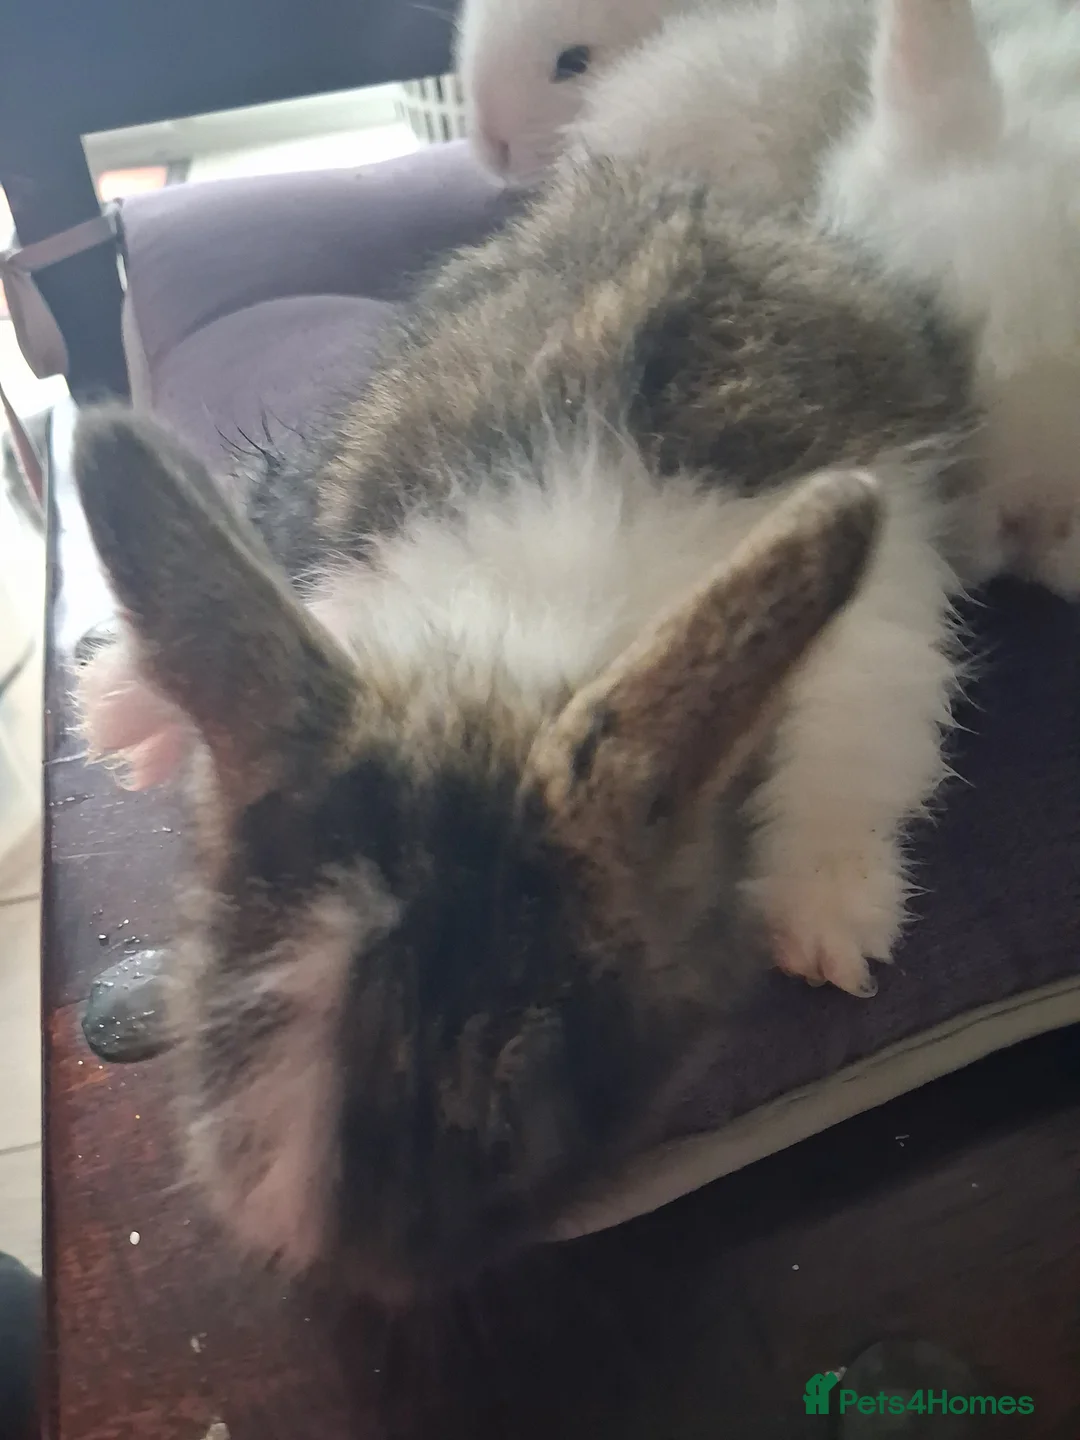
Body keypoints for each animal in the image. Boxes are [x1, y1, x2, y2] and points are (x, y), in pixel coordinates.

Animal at [73, 155, 979, 1299]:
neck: (527, 630)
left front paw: (831, 932)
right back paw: (119, 705)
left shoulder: (882, 649)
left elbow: (857, 781)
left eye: (518, 1132)